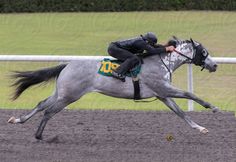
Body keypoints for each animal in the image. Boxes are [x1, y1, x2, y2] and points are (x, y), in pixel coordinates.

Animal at [7, 37, 219, 139]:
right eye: (204, 52)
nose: (215, 65)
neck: (162, 62)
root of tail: (67, 64)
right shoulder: (164, 89)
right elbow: (189, 93)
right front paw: (213, 107)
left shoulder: (162, 94)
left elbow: (181, 113)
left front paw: (200, 128)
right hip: (70, 96)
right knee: (49, 111)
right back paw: (39, 135)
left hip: (62, 93)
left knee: (41, 104)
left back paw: (18, 120)